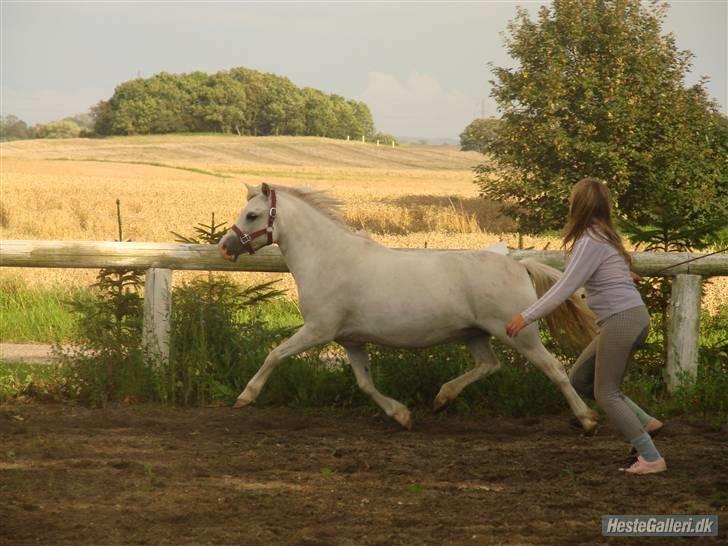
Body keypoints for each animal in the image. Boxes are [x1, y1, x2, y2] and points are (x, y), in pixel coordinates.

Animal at [219, 183, 600, 430]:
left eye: (252, 215)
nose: (224, 246)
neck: (328, 259)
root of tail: (519, 265)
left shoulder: (318, 330)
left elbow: (274, 355)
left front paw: (245, 397)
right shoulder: (351, 340)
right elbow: (365, 383)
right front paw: (402, 415)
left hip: (521, 335)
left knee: (554, 369)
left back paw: (587, 420)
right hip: (476, 334)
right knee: (488, 365)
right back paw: (442, 398)